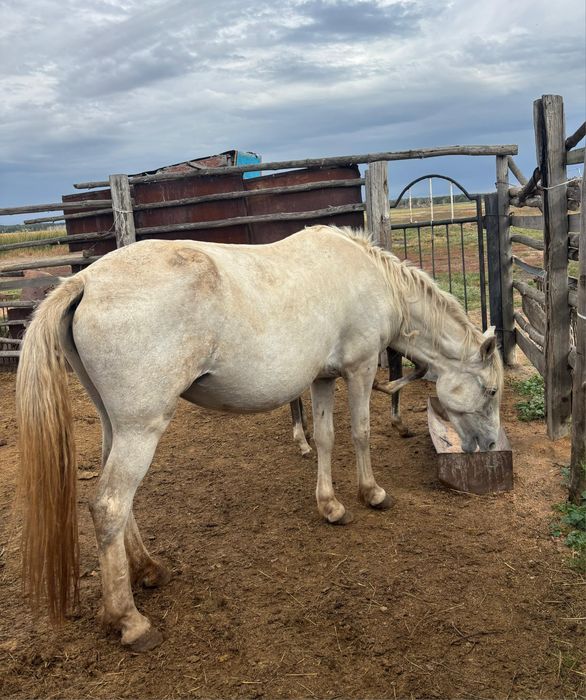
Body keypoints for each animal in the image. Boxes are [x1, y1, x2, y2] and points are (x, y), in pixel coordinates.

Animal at [15, 225, 503, 652]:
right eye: (491, 390)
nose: (489, 447)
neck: (371, 276)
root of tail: (84, 280)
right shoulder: (360, 368)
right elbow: (360, 432)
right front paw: (372, 493)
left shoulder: (322, 377)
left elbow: (325, 438)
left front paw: (330, 505)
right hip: (141, 429)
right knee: (110, 505)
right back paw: (131, 622)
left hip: (114, 426)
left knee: (120, 503)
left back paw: (149, 569)